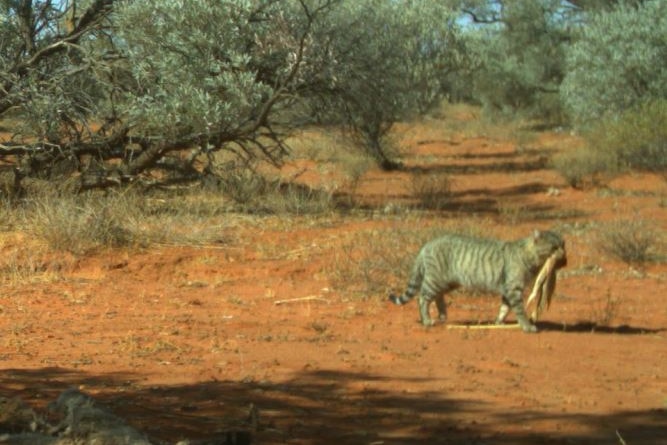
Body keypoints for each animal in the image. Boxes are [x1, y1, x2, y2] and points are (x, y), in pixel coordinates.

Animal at [388, 231, 568, 332]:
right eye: (554, 247)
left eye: (564, 245)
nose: (565, 259)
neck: (528, 255)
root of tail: (427, 244)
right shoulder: (513, 288)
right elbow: (519, 310)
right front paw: (527, 326)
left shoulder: (507, 290)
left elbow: (504, 308)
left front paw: (498, 323)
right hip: (435, 280)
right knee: (422, 298)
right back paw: (427, 320)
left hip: (448, 282)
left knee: (437, 297)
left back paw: (443, 316)